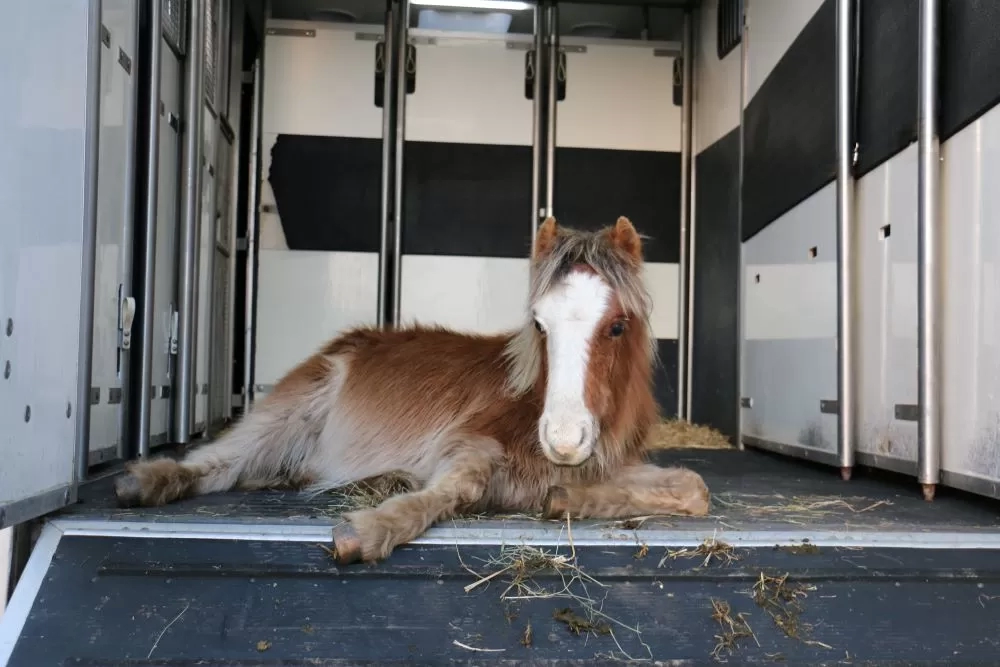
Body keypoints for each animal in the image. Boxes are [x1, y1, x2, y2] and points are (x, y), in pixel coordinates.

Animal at [115, 218, 712, 564]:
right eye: (540, 326)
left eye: (616, 327)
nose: (563, 441)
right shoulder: (467, 442)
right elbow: (461, 486)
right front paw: (372, 528)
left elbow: (694, 487)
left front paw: (565, 498)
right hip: (294, 406)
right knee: (221, 461)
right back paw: (147, 480)